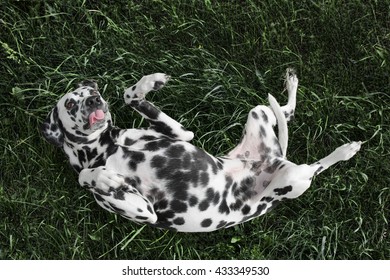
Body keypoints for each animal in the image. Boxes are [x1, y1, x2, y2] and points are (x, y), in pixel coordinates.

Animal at [41, 69, 362, 232]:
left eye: (93, 93)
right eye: (70, 102)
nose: (95, 100)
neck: (105, 147)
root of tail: (275, 160)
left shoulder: (182, 134)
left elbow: (130, 96)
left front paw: (148, 83)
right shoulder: (144, 212)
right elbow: (84, 176)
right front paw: (101, 177)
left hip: (260, 115)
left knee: (292, 119)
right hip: (291, 173)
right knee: (313, 161)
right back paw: (345, 150)